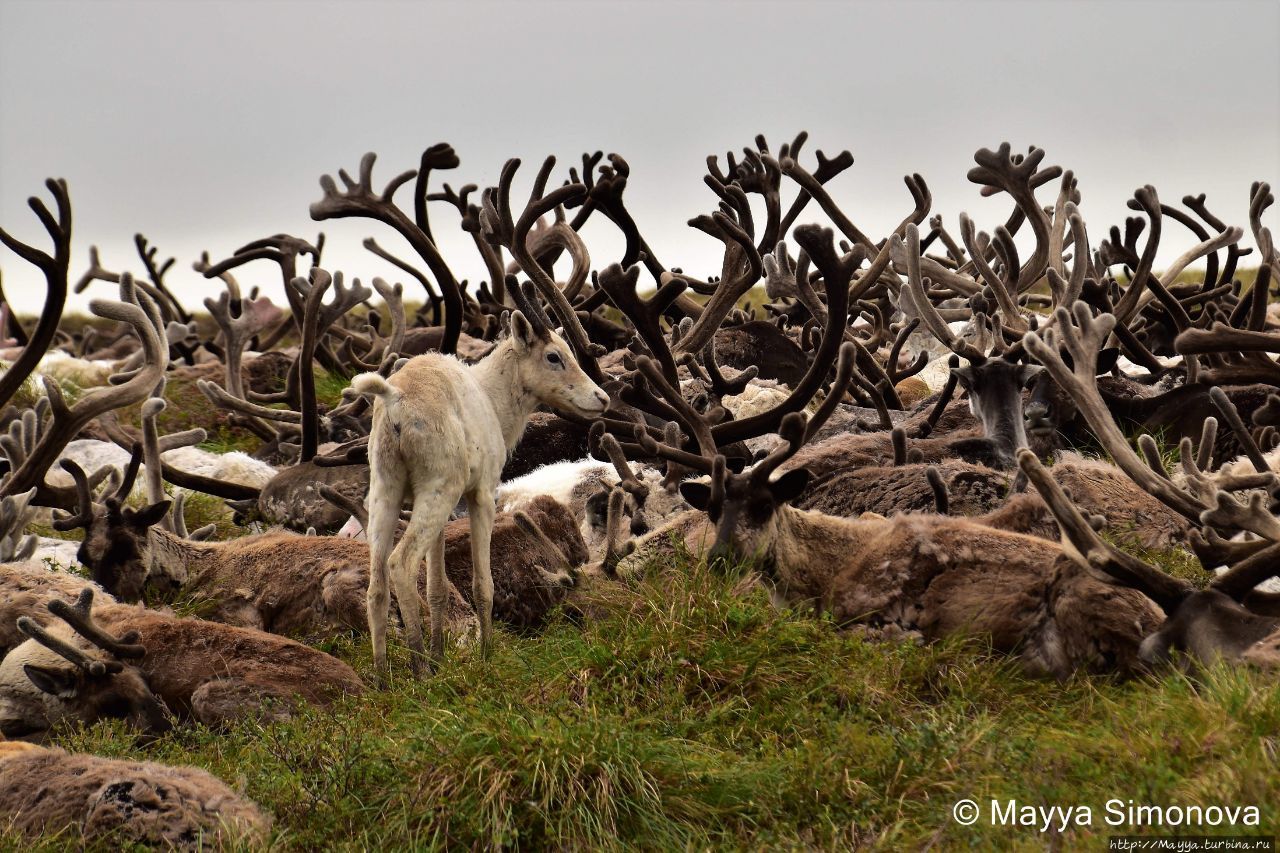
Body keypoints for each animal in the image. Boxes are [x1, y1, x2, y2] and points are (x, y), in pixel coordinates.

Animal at [353, 302, 606, 676]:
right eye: (553, 356)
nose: (601, 398)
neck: (492, 398)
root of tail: (394, 399)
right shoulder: (482, 492)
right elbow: (482, 583)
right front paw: (486, 654)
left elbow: (438, 587)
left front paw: (440, 655)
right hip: (439, 488)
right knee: (401, 562)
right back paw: (419, 668)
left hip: (388, 491)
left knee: (376, 584)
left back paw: (384, 675)